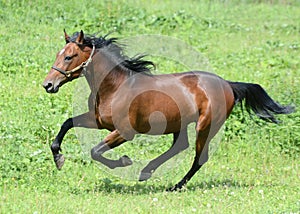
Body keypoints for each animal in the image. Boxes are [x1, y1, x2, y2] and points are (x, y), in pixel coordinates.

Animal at [42, 29, 292, 191]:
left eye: (69, 56)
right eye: (57, 54)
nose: (48, 85)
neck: (116, 87)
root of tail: (228, 84)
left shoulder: (125, 132)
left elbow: (95, 151)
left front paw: (124, 161)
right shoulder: (99, 121)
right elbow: (67, 124)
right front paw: (58, 158)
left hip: (205, 125)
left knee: (198, 157)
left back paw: (175, 185)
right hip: (178, 123)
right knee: (180, 147)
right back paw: (148, 172)